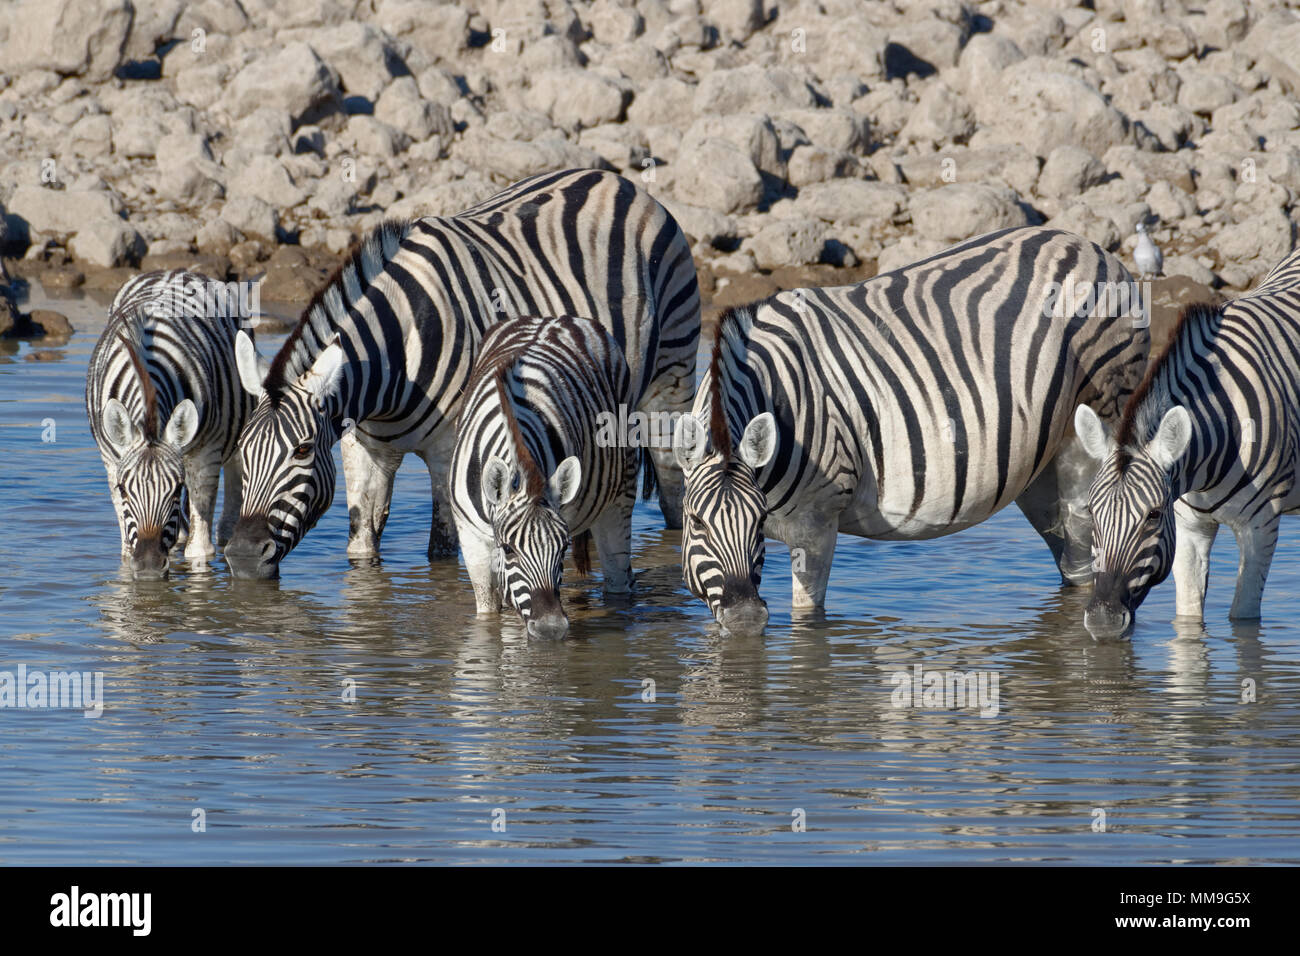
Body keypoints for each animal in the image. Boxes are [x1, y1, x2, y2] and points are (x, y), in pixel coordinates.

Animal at [86, 270, 255, 578]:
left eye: (176, 490)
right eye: (123, 489)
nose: (149, 567)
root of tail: (175, 271)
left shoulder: (205, 455)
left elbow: (200, 550)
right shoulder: (111, 460)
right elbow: (126, 550)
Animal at [226, 168, 699, 579]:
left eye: (302, 450)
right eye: (243, 450)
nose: (243, 557)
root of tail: (617, 181)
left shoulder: (450, 452)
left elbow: (441, 550)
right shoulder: (362, 447)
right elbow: (361, 544)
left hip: (670, 380)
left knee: (673, 491)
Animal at [450, 315, 639, 639]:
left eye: (562, 547)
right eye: (508, 549)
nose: (551, 629)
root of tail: (553, 319)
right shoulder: (471, 537)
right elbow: (488, 614)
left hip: (621, 494)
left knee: (618, 580)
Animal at [672, 226, 1151, 634]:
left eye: (756, 521)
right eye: (695, 522)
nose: (746, 621)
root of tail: (1092, 247)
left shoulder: (817, 522)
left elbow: (808, 618)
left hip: (1096, 427)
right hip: (1042, 466)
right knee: (1075, 563)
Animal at [1074, 246, 1300, 639]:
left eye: (1152, 515)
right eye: (1091, 512)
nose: (1103, 621)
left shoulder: (1261, 527)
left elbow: (1243, 621)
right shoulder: (1188, 527)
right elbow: (1189, 617)